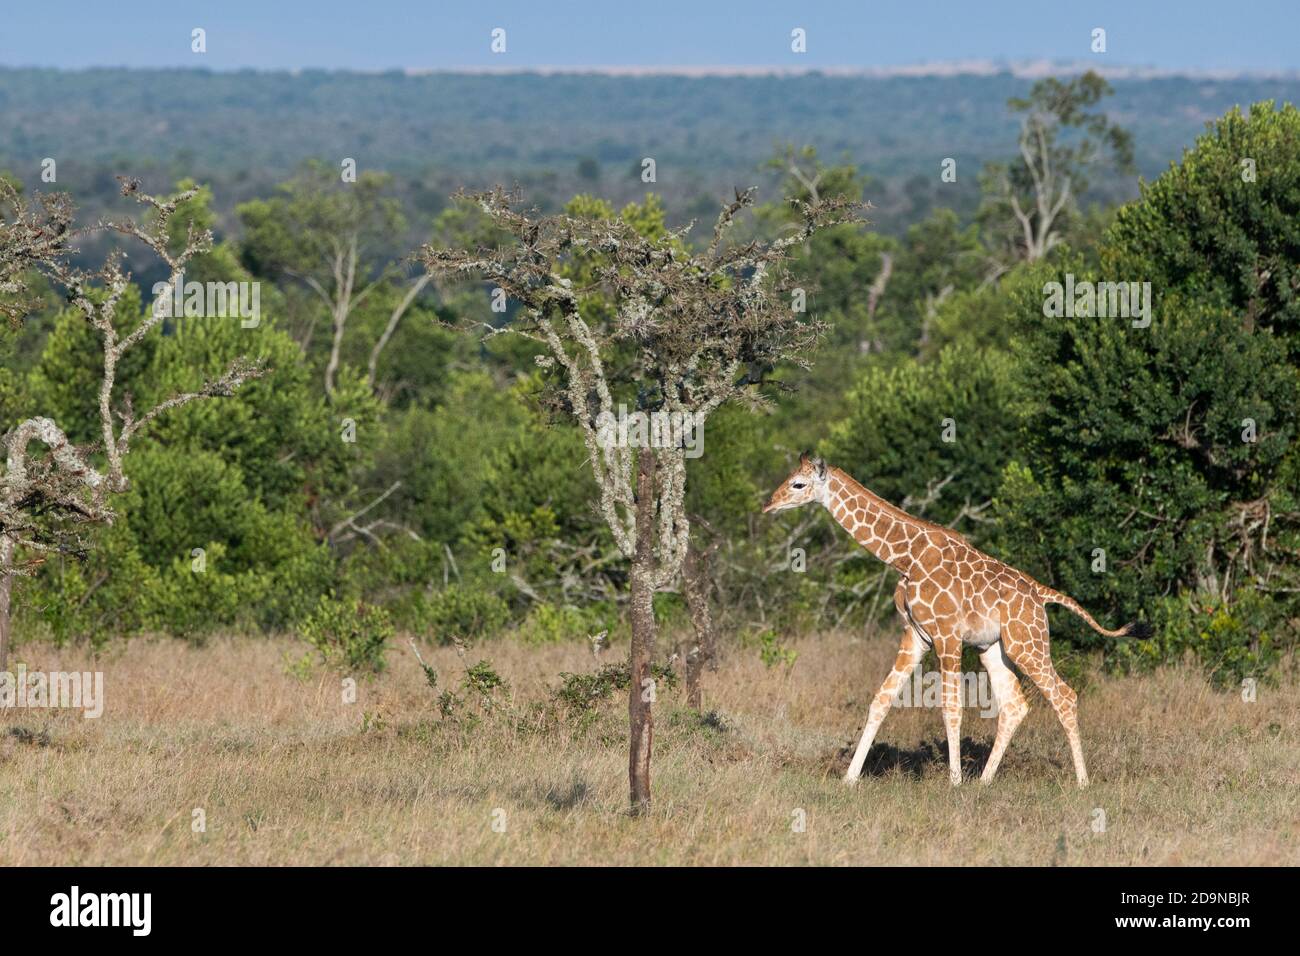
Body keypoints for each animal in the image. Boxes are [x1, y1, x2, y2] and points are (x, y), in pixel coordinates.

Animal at [762, 453, 1151, 788]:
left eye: (797, 484)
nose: (769, 505)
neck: (906, 557)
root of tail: (1040, 594)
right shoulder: (915, 635)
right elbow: (881, 700)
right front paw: (849, 778)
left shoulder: (947, 635)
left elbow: (951, 707)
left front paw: (953, 781)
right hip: (994, 648)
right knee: (1015, 704)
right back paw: (985, 781)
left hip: (1027, 643)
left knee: (1064, 695)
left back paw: (1082, 782)